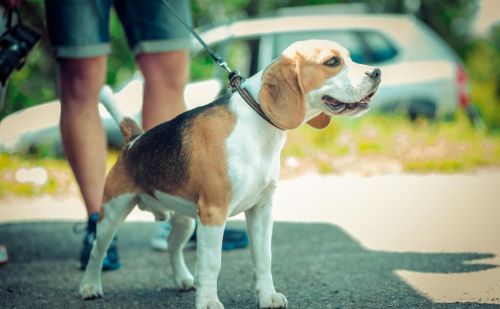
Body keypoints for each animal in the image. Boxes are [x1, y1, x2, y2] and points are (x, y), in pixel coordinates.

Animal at [80, 39, 380, 306]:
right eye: (332, 62)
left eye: (348, 57)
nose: (377, 72)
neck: (258, 127)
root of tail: (135, 139)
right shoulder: (214, 213)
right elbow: (212, 263)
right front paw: (209, 302)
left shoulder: (262, 210)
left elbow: (263, 258)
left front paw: (268, 297)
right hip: (113, 213)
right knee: (97, 250)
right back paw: (90, 286)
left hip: (186, 221)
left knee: (172, 246)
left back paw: (183, 279)